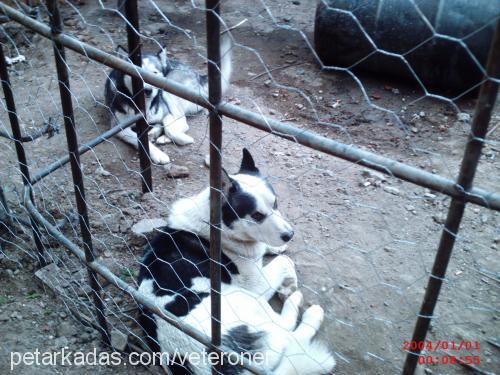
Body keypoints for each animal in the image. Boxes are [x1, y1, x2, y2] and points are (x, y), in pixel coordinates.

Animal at [104, 33, 233, 164]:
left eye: (154, 73)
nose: (148, 90)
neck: (146, 105)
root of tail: (197, 75)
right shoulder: (119, 128)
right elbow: (139, 138)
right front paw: (158, 153)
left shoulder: (166, 112)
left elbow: (167, 125)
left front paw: (179, 138)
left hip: (169, 89)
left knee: (183, 122)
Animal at [136, 149, 336, 374]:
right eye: (256, 215)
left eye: (275, 203)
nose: (289, 234)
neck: (214, 226)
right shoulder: (256, 285)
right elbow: (285, 261)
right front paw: (289, 285)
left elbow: (272, 250)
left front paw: (276, 249)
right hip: (251, 302)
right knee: (289, 334)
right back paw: (307, 310)